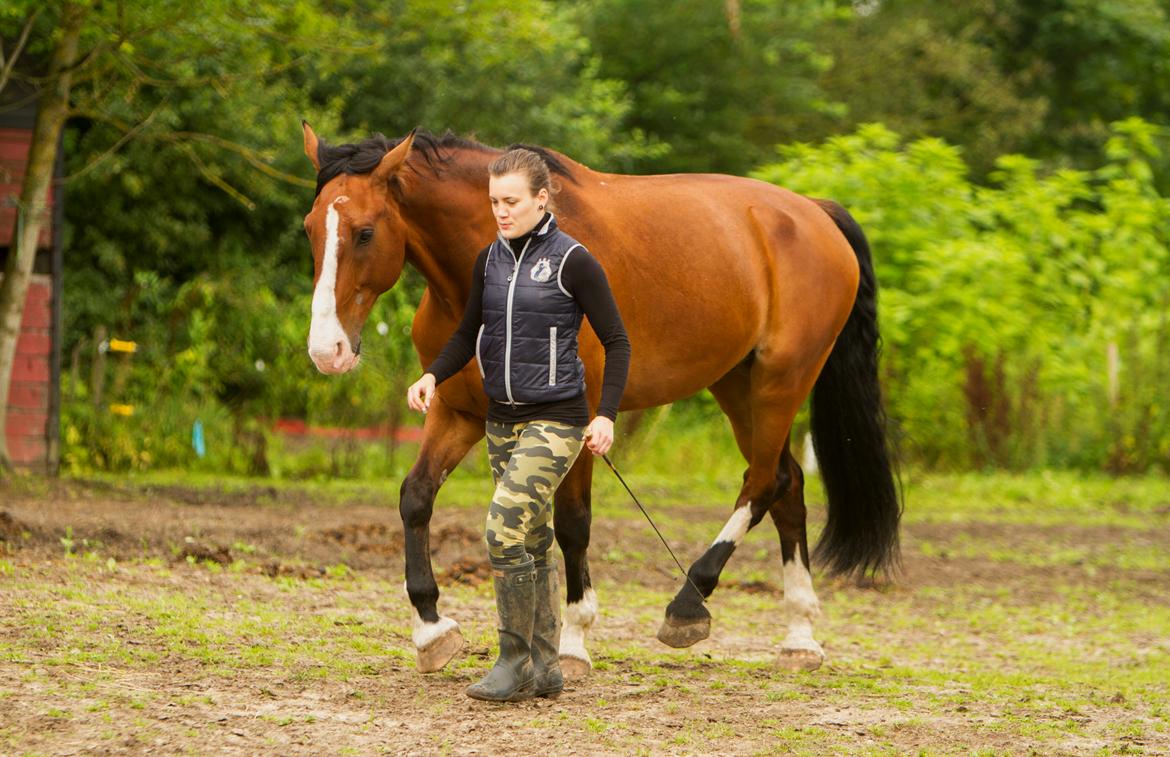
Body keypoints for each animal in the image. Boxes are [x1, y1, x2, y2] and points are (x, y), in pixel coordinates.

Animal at [299, 122, 893, 673]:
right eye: (310, 228)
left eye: (365, 232)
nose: (327, 350)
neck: (496, 270)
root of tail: (814, 213)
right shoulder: (459, 411)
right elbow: (417, 496)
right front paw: (431, 629)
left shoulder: (576, 420)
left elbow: (572, 523)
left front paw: (573, 640)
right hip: (736, 384)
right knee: (788, 486)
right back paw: (799, 636)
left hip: (781, 381)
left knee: (764, 484)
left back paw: (687, 605)